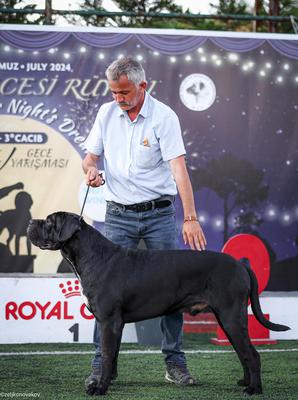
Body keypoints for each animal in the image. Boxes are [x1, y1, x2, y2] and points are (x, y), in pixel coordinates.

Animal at [27, 212, 288, 396]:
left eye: (49, 221)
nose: (30, 222)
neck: (93, 255)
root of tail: (240, 264)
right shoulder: (114, 324)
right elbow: (111, 356)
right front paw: (106, 381)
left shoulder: (109, 321)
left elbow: (107, 354)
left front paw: (99, 389)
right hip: (227, 320)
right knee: (243, 353)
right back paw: (245, 382)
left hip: (231, 317)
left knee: (252, 355)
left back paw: (254, 389)